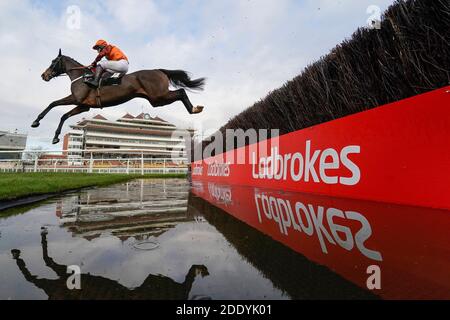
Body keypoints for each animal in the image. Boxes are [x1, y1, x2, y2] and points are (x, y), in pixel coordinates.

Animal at [33, 48, 206, 144]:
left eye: (53, 61)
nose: (44, 75)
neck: (81, 76)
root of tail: (159, 70)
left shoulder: (77, 99)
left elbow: (53, 103)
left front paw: (36, 121)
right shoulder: (83, 106)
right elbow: (63, 114)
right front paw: (55, 137)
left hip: (158, 97)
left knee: (181, 92)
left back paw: (194, 109)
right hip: (156, 99)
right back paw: (195, 109)